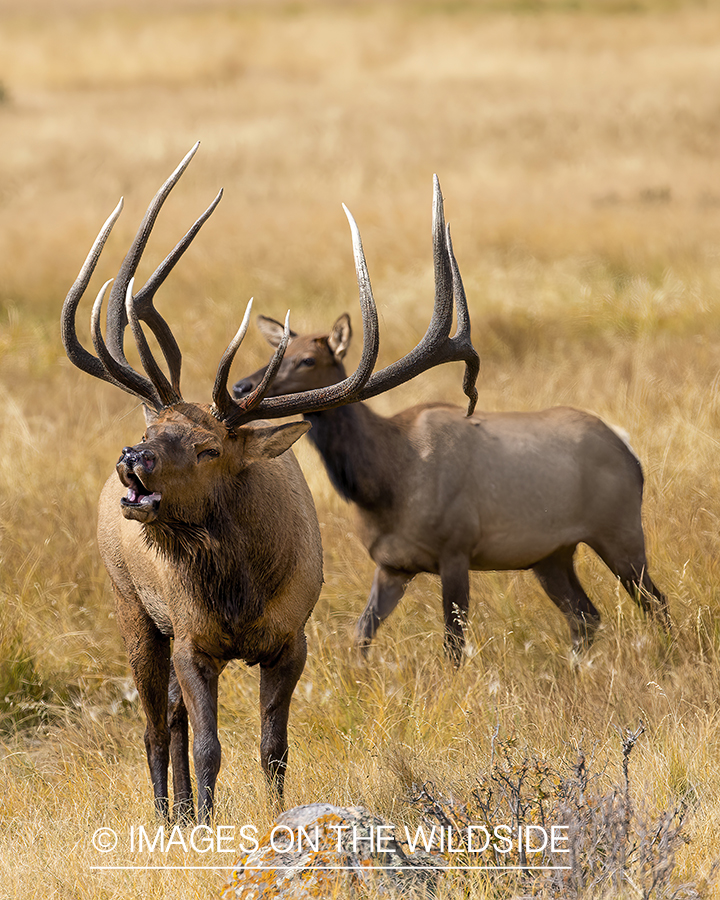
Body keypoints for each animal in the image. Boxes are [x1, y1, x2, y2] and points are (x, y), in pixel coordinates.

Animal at [60, 142, 478, 824]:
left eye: (208, 448)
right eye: (158, 428)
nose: (133, 459)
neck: (241, 591)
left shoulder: (291, 639)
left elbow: (273, 747)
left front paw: (267, 811)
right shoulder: (192, 638)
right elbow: (209, 747)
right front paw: (206, 822)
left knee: (169, 719)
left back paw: (178, 811)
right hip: (132, 608)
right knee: (154, 728)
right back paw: (167, 816)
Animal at [235, 216, 668, 668]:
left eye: (307, 359)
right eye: (277, 353)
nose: (240, 386)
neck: (382, 482)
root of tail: (629, 452)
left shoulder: (457, 550)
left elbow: (453, 645)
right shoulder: (392, 565)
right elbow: (361, 633)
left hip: (620, 532)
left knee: (657, 604)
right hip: (551, 554)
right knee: (586, 615)